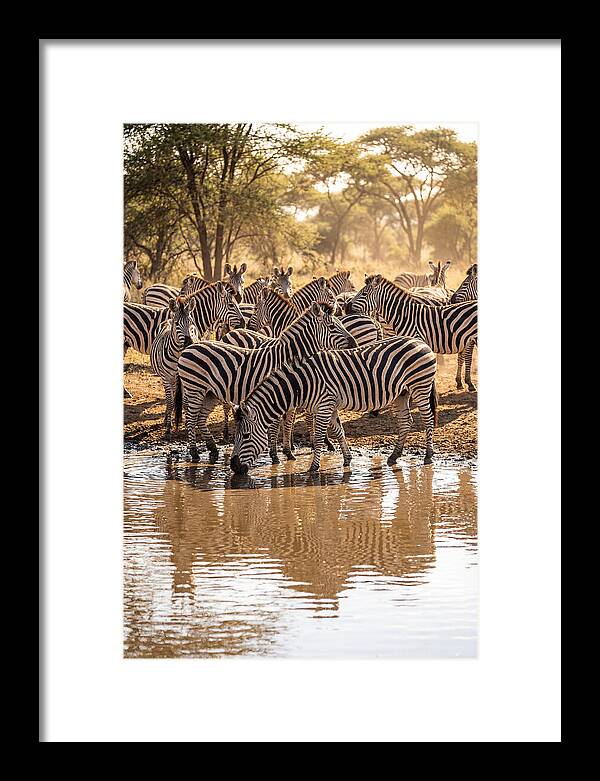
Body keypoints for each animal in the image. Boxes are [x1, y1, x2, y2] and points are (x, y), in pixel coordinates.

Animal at [150, 297, 199, 440]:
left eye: (191, 323)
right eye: (177, 324)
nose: (189, 343)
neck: (178, 355)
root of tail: (168, 320)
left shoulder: (188, 379)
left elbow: (186, 402)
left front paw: (188, 423)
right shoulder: (166, 377)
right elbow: (171, 401)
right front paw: (168, 427)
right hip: (168, 379)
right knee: (169, 398)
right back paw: (167, 418)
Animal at [176, 302, 357, 463]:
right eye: (332, 327)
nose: (354, 344)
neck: (287, 357)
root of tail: (189, 347)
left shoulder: (290, 394)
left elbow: (288, 422)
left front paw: (288, 452)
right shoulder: (278, 392)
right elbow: (277, 424)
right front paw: (275, 455)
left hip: (210, 393)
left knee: (200, 419)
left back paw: (213, 449)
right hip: (195, 389)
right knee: (191, 419)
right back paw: (194, 454)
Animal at [230, 335, 438, 475]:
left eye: (246, 436)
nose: (233, 466)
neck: (303, 383)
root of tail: (420, 342)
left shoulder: (324, 405)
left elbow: (319, 438)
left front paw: (313, 467)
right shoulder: (329, 406)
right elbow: (339, 432)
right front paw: (347, 459)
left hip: (420, 386)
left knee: (427, 419)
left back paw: (428, 455)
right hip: (401, 394)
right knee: (406, 422)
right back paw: (394, 455)